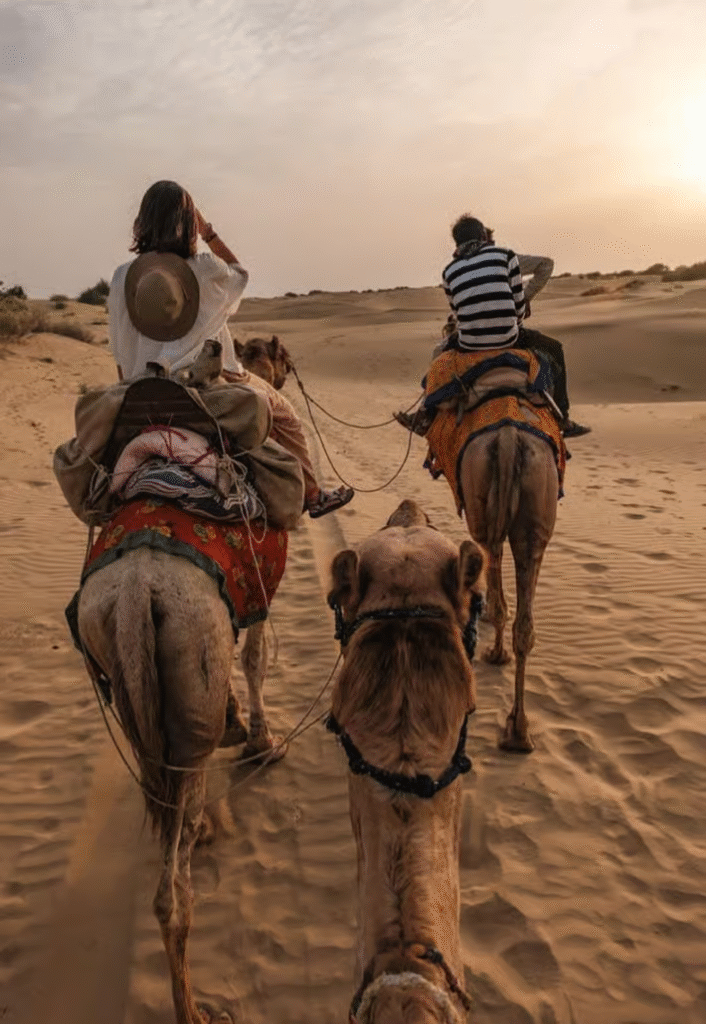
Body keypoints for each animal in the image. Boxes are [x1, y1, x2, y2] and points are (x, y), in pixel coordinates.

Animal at [459, 425, 558, 752]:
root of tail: (508, 438)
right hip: (535, 515)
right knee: (525, 627)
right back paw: (518, 731)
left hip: (481, 498)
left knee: (489, 551)